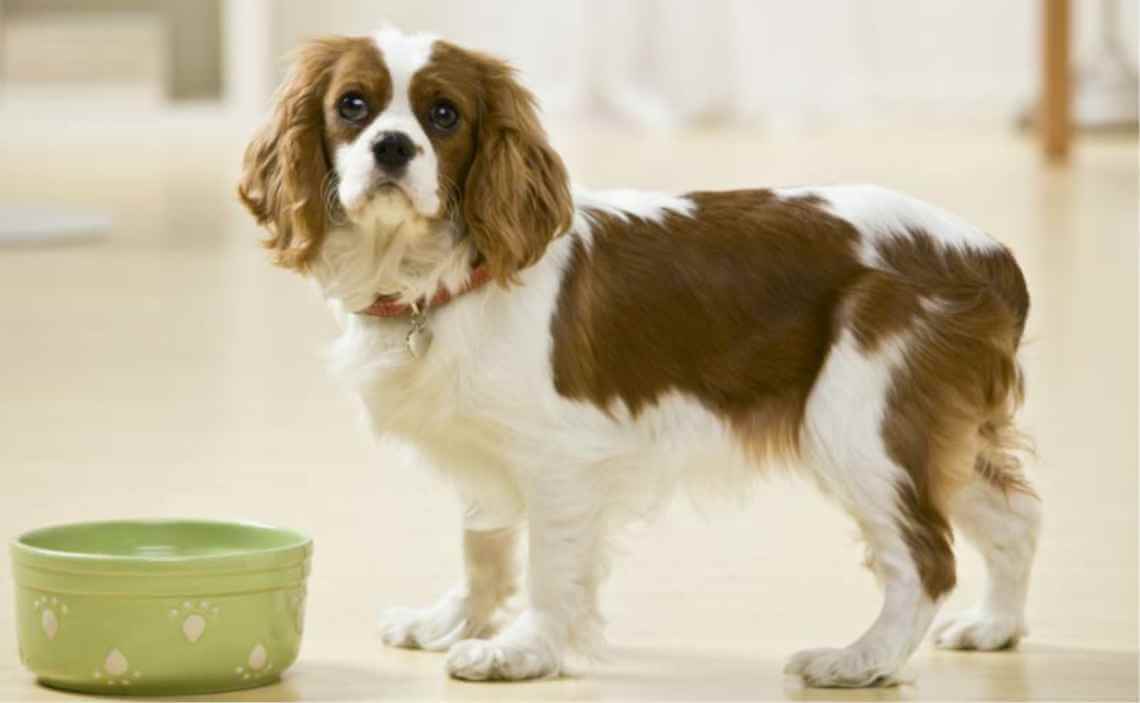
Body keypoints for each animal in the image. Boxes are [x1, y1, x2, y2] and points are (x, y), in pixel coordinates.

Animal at [240, 26, 1044, 683]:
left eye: (445, 116)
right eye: (352, 105)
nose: (392, 147)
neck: (437, 277)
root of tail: (989, 254)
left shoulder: (559, 457)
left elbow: (549, 565)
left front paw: (521, 651)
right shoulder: (486, 444)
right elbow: (485, 543)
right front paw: (453, 622)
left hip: (858, 427)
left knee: (926, 558)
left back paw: (860, 660)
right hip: (931, 432)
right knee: (1014, 519)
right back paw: (995, 627)